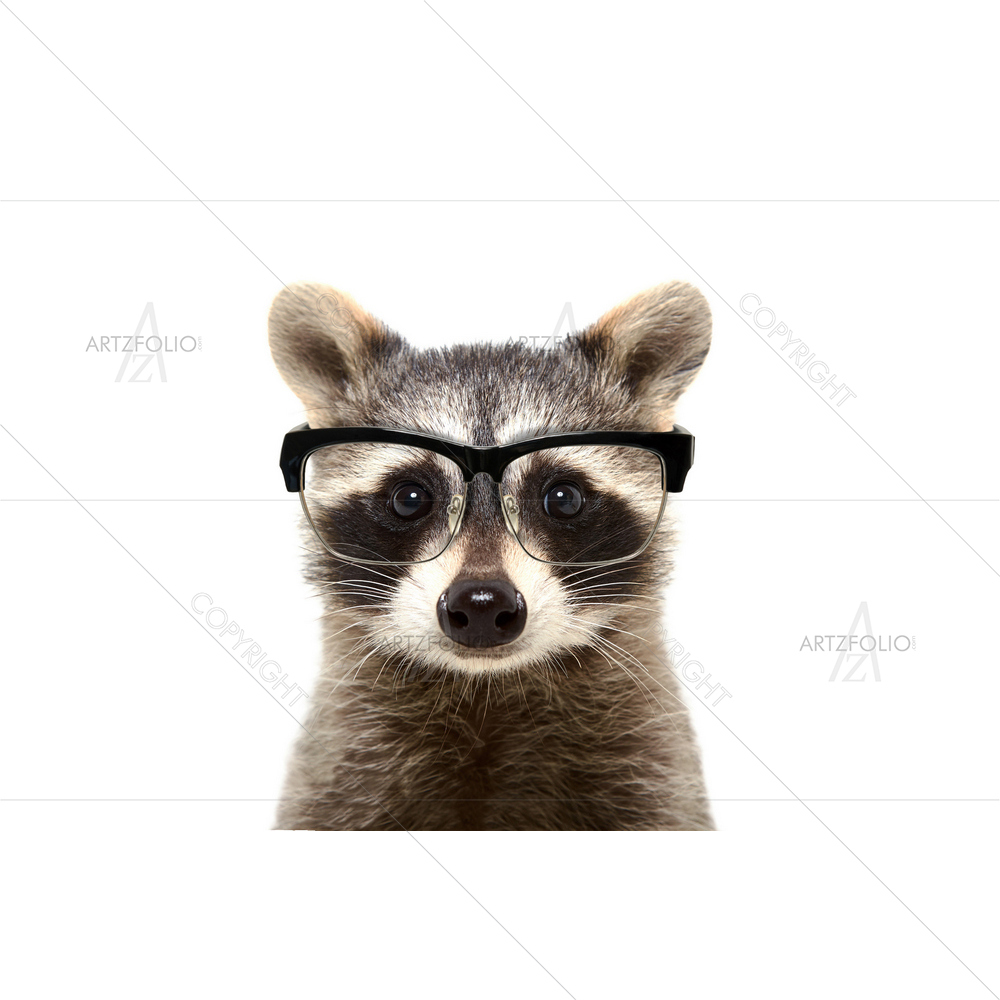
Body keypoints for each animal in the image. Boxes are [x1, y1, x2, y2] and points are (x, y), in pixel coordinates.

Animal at [268, 280, 715, 830]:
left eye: (563, 498)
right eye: (409, 498)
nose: (482, 603)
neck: (486, 690)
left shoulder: (652, 769)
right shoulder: (340, 771)